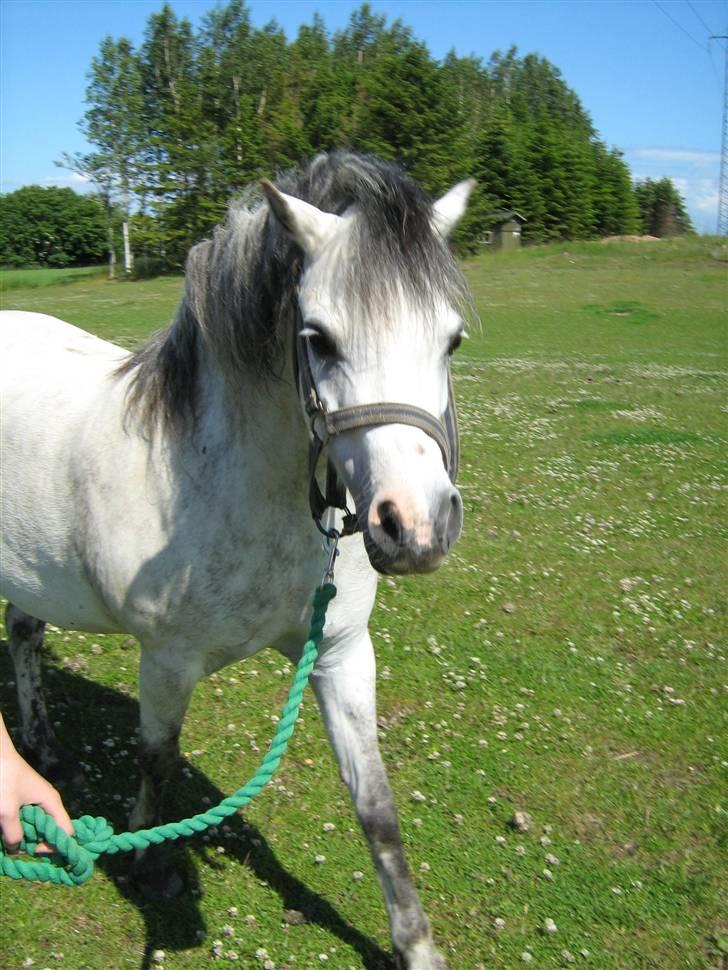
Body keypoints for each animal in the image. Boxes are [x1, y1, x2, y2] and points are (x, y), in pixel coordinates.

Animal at [0, 153, 474, 968]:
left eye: (452, 340)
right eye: (318, 337)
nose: (415, 528)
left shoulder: (340, 652)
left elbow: (376, 804)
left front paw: (415, 944)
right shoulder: (166, 660)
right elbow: (157, 758)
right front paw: (152, 867)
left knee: (25, 633)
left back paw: (46, 752)